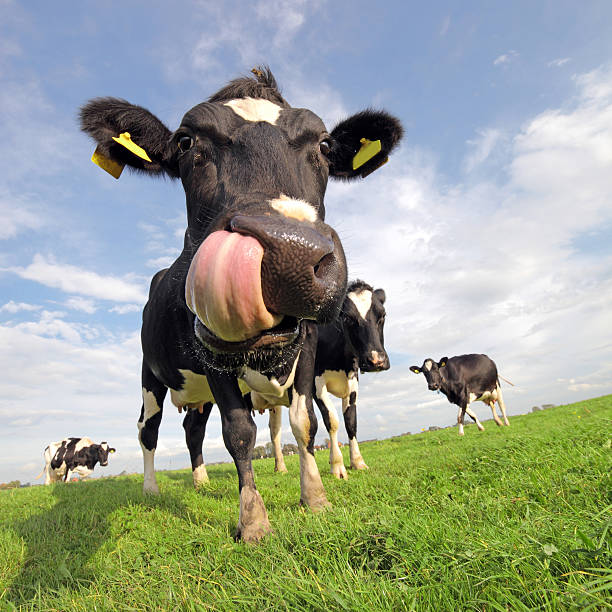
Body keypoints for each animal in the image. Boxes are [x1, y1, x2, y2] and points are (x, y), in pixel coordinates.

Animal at [255, 280, 390, 478]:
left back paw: (280, 468)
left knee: (274, 431)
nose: (376, 360)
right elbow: (332, 420)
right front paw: (337, 465)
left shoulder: (353, 383)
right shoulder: (315, 384)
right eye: (347, 318)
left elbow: (351, 422)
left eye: (382, 315)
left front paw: (357, 461)